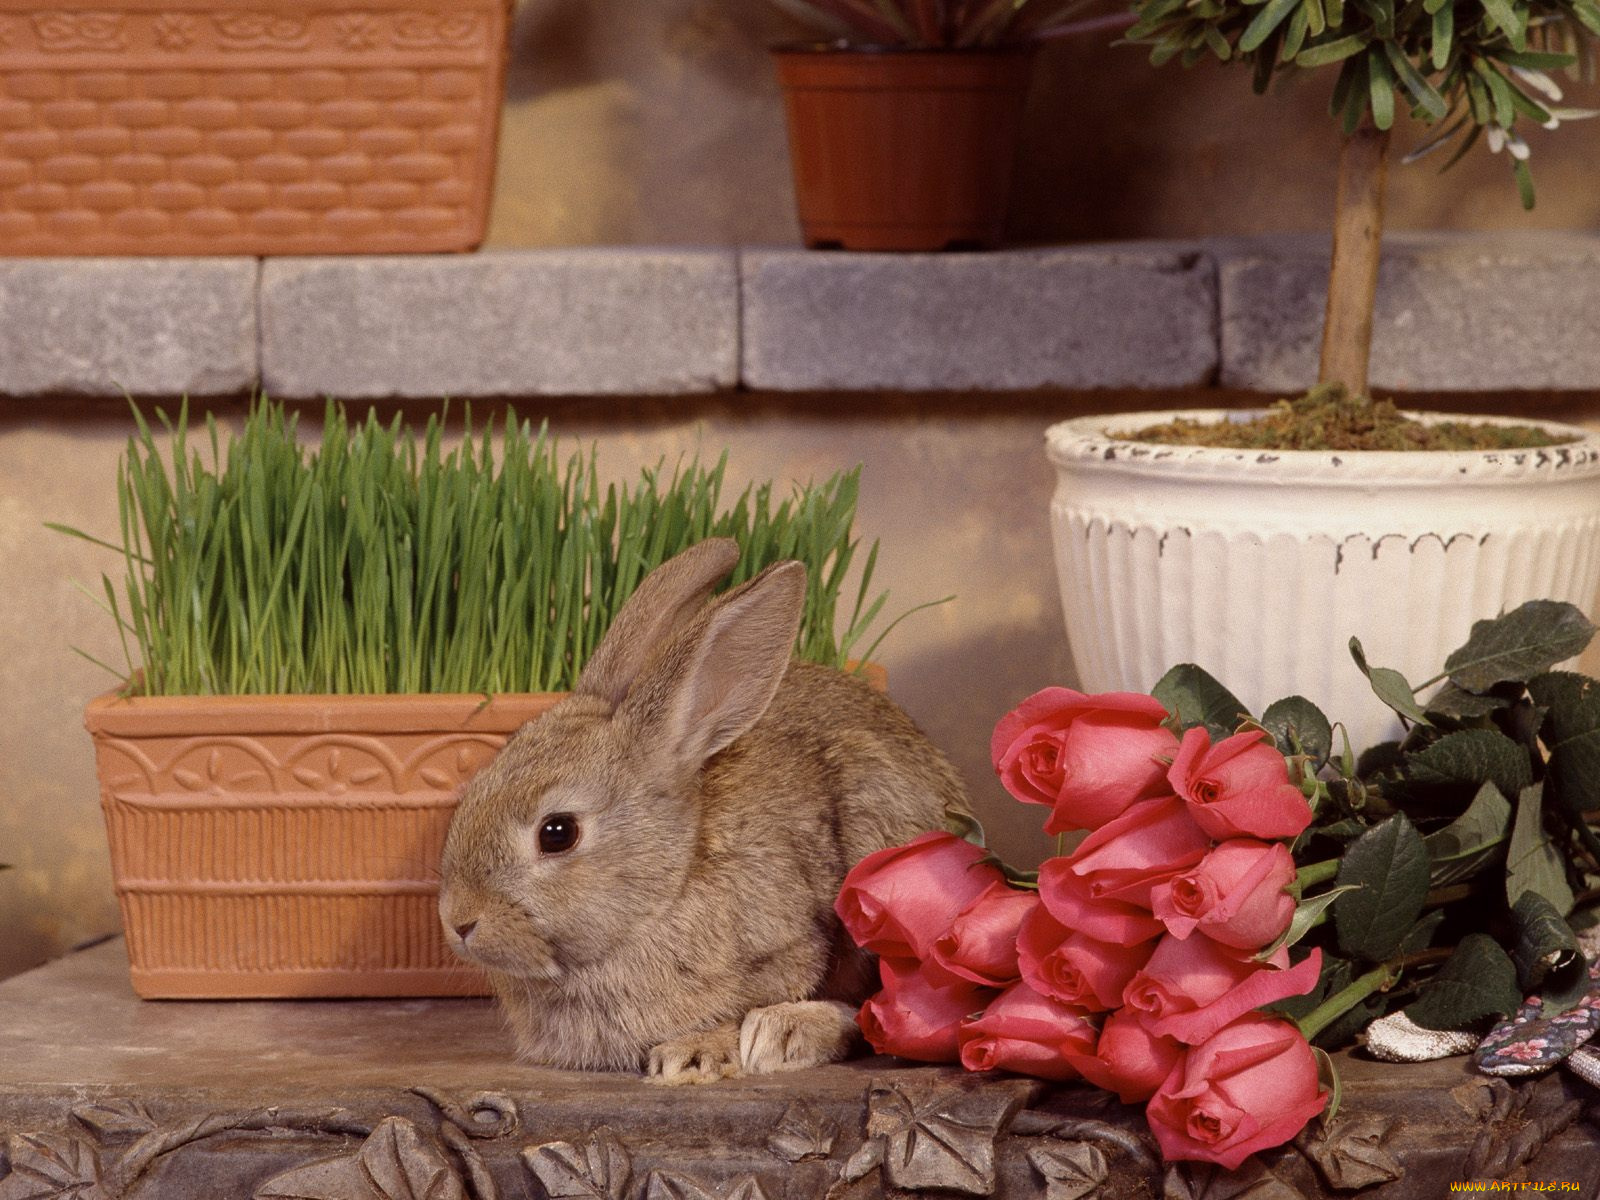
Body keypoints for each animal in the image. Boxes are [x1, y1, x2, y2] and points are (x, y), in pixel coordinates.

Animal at [437, 536, 971, 1084]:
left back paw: (784, 1033)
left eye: (557, 832)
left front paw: (692, 1054)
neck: (666, 888)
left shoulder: (790, 943)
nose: (458, 922)